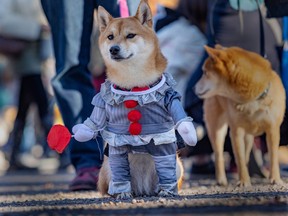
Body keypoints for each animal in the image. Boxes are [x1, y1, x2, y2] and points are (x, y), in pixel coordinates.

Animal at [72, 0, 198, 199]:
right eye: (110, 37)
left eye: (130, 35)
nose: (113, 49)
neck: (134, 85)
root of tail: (142, 189)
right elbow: (94, 122)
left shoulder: (170, 99)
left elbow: (181, 119)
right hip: (108, 167)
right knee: (115, 180)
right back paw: (122, 192)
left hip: (176, 165)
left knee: (166, 172)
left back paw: (164, 190)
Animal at [195, 45, 286, 186]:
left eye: (205, 73)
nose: (193, 88)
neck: (253, 99)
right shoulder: (236, 132)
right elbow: (239, 158)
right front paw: (243, 181)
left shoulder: (273, 130)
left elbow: (273, 156)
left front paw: (275, 179)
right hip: (217, 129)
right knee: (219, 154)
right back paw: (221, 179)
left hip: (248, 138)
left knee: (247, 155)